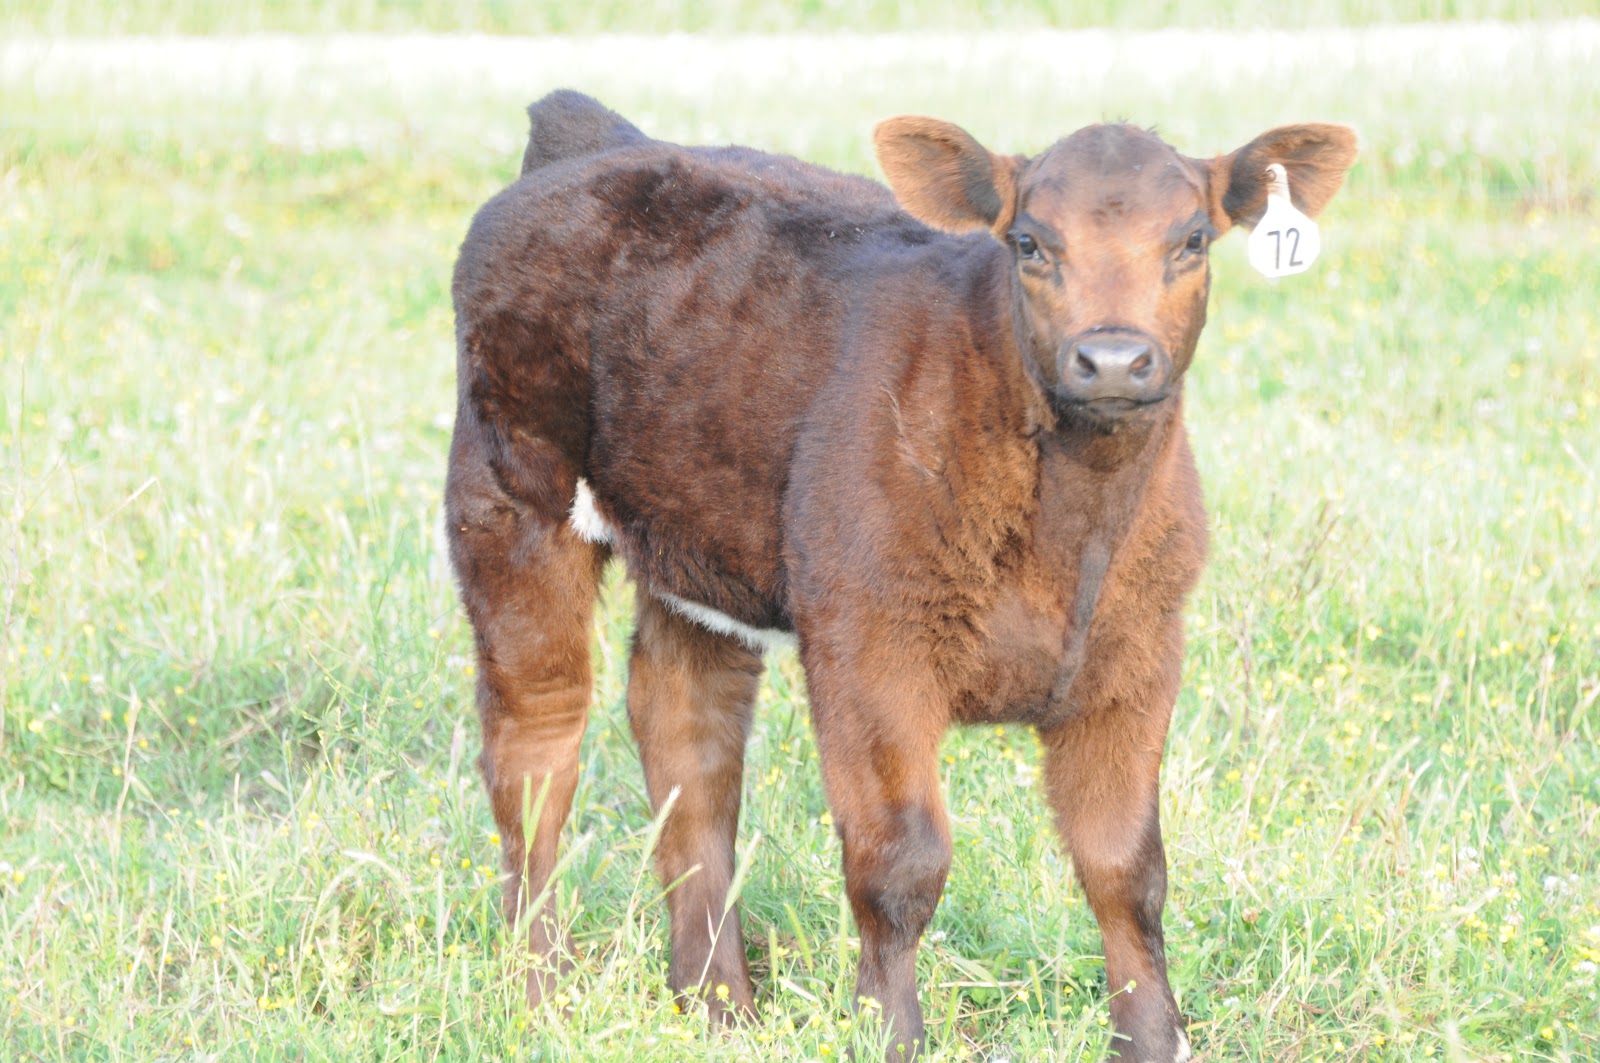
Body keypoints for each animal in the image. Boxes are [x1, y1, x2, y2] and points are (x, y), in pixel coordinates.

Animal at [446, 89, 1356, 1061]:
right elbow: (901, 861)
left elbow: (1126, 868)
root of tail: (599, 139)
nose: (1111, 359)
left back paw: (720, 1004)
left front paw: (1154, 1039)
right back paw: (539, 994)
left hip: (697, 542)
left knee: (686, 740)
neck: (1070, 536)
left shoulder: (1138, 654)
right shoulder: (871, 643)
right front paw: (889, 1031)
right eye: (1029, 242)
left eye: (1191, 240)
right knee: (536, 751)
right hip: (509, 499)